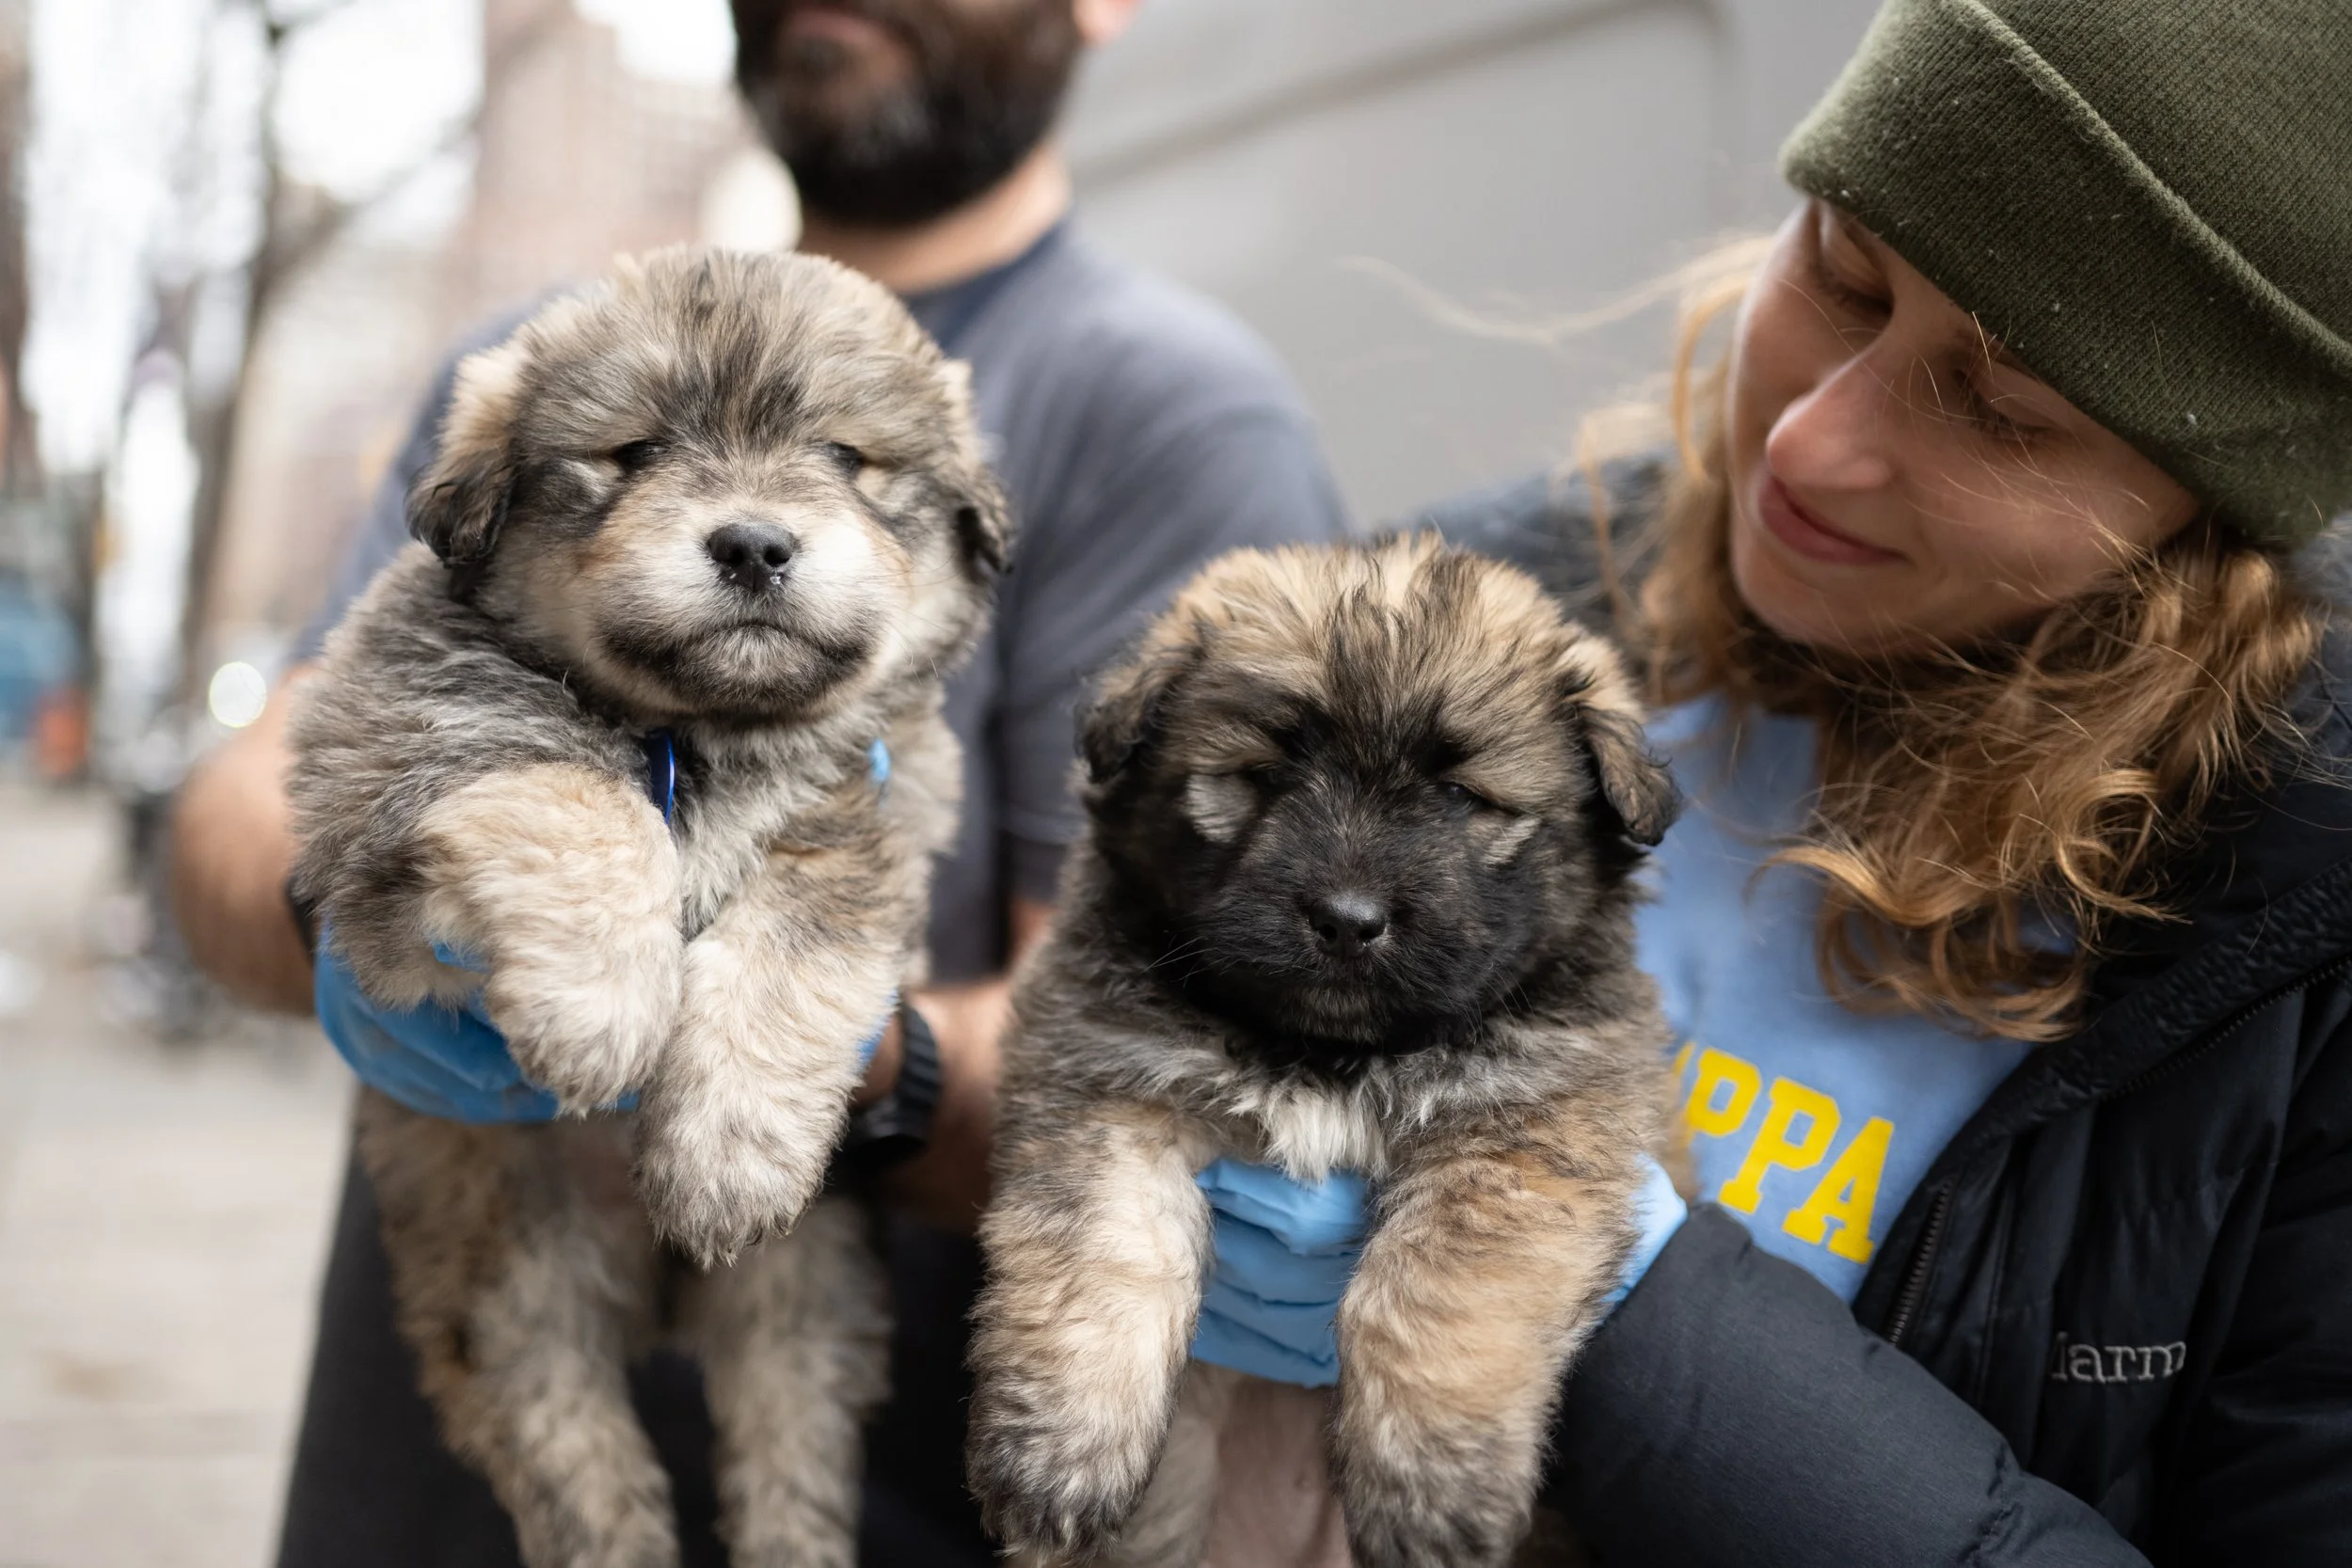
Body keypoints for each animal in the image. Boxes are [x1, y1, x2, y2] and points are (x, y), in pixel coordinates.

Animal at [286, 246, 1009, 1568]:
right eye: (629, 455)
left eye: (845, 457)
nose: (756, 544)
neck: (701, 732)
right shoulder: (390, 796)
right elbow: (578, 792)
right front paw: (601, 1009)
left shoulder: (868, 822)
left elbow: (795, 936)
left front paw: (724, 1150)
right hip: (510, 1284)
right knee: (574, 1456)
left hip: (805, 1287)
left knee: (789, 1442)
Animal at [966, 536, 1676, 1568]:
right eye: (1259, 775)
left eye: (1462, 795)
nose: (1347, 919)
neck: (1330, 1052)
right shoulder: (1107, 1083)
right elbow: (1106, 1250)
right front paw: (1061, 1446)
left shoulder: (1518, 1129)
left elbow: (1436, 1290)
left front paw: (1431, 1482)